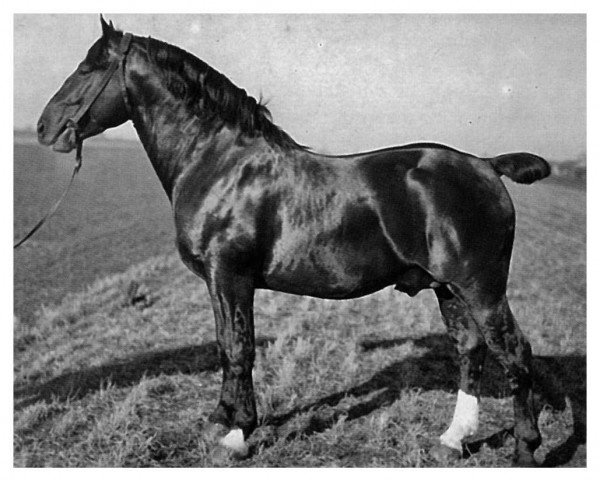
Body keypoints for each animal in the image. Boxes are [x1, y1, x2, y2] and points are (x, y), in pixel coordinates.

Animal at [36, 18, 552, 464]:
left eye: (88, 67)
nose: (44, 127)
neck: (220, 162)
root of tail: (487, 165)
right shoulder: (221, 282)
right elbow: (226, 344)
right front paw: (223, 419)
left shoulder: (229, 276)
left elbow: (238, 347)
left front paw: (237, 433)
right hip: (448, 289)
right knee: (470, 349)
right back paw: (453, 438)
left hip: (480, 288)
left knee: (514, 352)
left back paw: (525, 449)